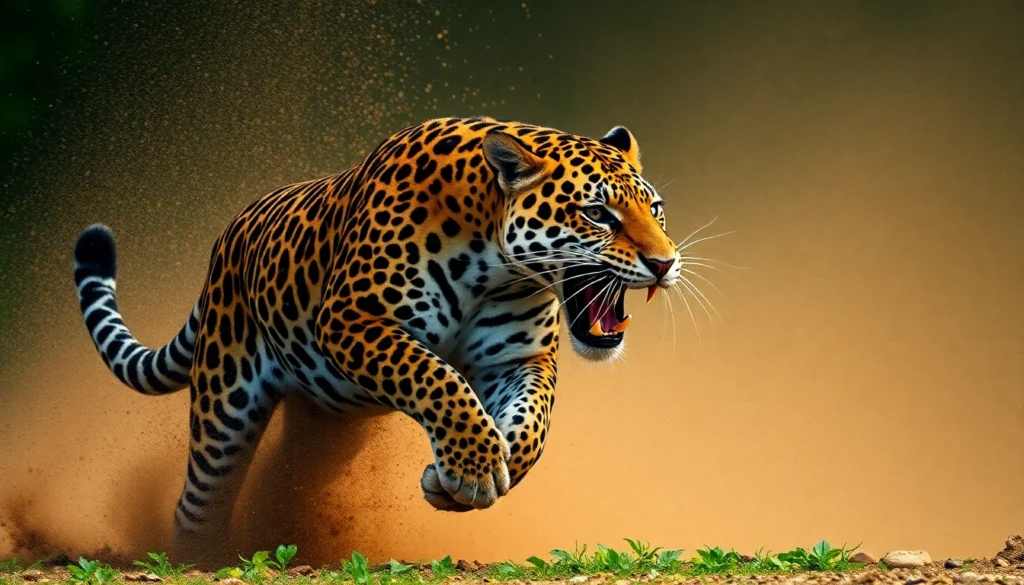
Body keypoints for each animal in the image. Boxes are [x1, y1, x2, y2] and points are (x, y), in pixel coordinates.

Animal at [72, 116, 682, 560]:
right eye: (597, 213)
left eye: (655, 209)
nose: (665, 263)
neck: (495, 263)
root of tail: (230, 234)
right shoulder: (351, 319)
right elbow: (437, 376)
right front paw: (474, 469)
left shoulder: (520, 357)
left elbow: (533, 424)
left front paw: (469, 471)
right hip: (226, 401)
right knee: (199, 499)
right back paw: (200, 557)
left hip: (324, 430)